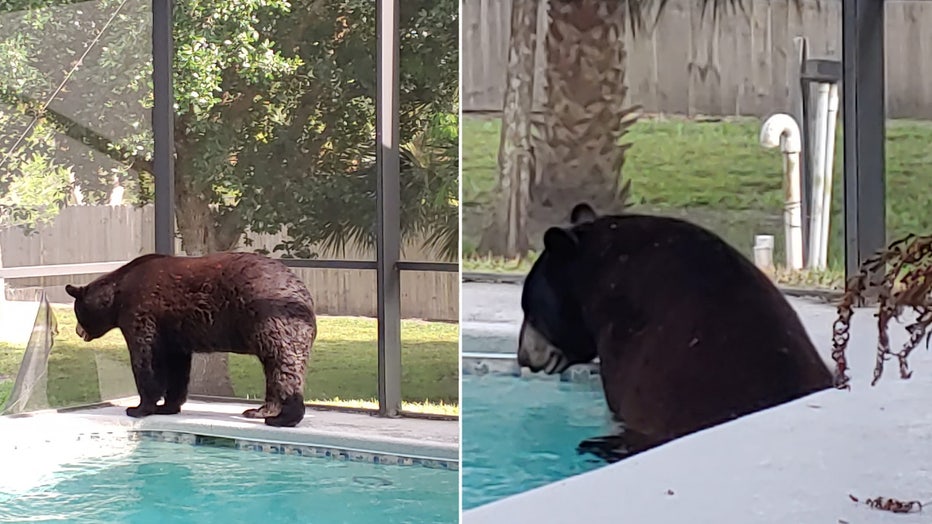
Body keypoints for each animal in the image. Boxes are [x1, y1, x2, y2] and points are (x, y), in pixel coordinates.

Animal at [64, 251, 317, 428]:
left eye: (77, 312)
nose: (78, 331)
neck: (117, 296)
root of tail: (304, 294)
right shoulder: (173, 333)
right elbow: (177, 366)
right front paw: (168, 406)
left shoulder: (141, 313)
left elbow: (146, 359)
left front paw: (139, 407)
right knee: (274, 369)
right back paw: (261, 410)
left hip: (271, 322)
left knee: (284, 367)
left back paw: (282, 418)